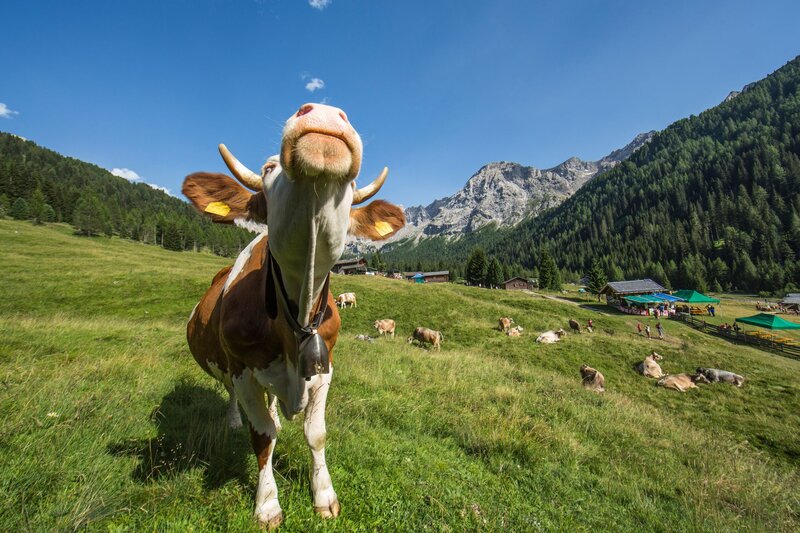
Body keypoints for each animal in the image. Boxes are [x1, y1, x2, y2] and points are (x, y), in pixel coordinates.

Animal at [182, 103, 405, 528]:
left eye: (354, 187)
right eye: (268, 169)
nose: (323, 111)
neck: (295, 318)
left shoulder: (325, 367)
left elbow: (315, 433)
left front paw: (324, 495)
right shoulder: (243, 370)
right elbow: (263, 436)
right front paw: (267, 504)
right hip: (227, 367)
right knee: (234, 398)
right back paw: (234, 420)